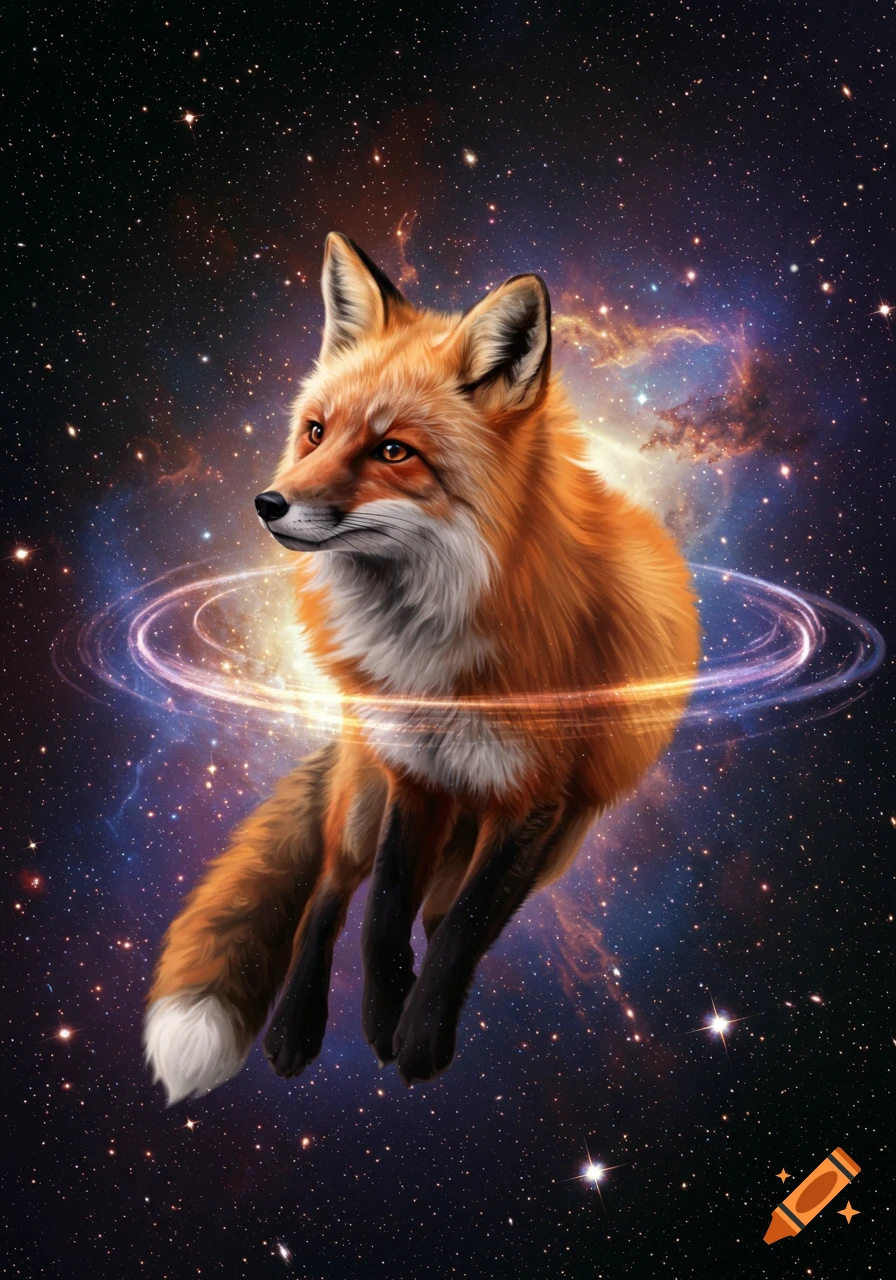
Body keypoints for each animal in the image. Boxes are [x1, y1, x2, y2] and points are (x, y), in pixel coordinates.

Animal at [143, 233, 701, 1104]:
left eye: (393, 451)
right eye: (315, 432)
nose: (268, 504)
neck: (433, 656)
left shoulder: (534, 802)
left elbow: (462, 927)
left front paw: (419, 1032)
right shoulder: (411, 773)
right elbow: (378, 915)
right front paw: (378, 1020)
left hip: (560, 841)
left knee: (448, 914)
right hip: (362, 794)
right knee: (330, 893)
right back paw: (296, 1024)